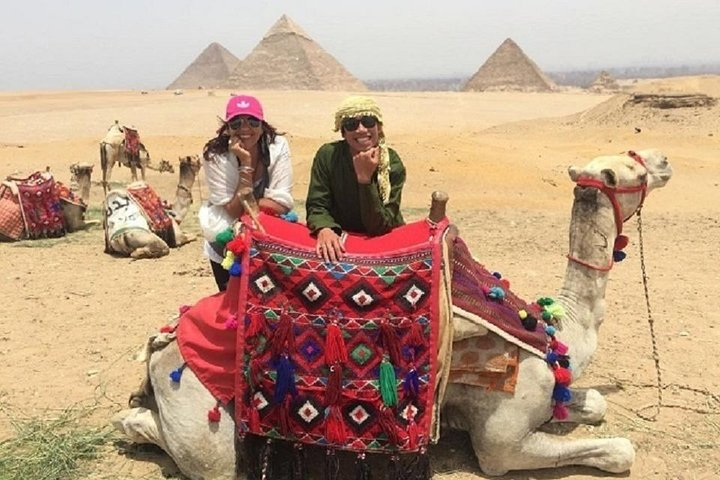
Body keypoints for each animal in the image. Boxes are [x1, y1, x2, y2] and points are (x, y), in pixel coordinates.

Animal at [112, 149, 672, 479]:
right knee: (188, 449)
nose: (664, 160)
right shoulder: (501, 441)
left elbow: (595, 403)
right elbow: (618, 451)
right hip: (206, 420)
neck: (556, 332)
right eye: (632, 169)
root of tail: (162, 346)